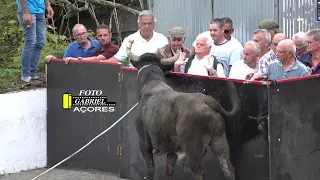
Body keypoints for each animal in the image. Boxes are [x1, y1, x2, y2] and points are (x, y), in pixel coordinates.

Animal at [127, 46, 240, 179]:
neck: (152, 84)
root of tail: (207, 100)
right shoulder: (172, 151)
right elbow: (169, 170)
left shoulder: (144, 143)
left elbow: (150, 169)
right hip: (219, 140)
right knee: (227, 168)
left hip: (192, 151)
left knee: (200, 173)